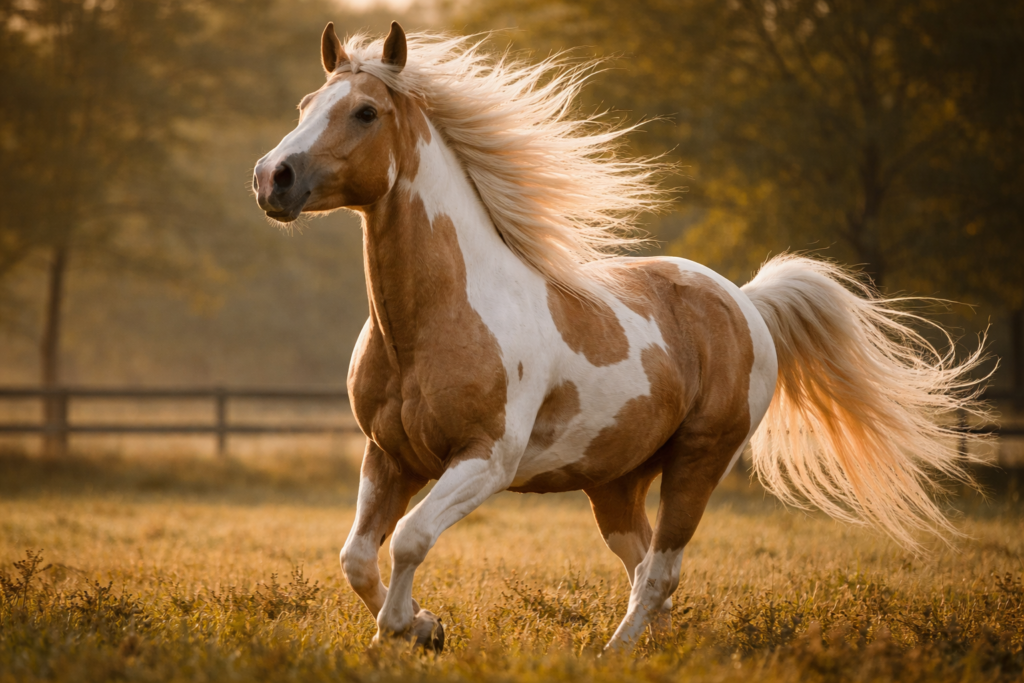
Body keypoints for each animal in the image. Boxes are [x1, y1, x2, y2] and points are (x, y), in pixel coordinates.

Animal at [252, 22, 988, 652]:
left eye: (365, 112)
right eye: (306, 103)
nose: (271, 178)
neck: (435, 321)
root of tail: (744, 302)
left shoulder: (485, 459)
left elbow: (408, 538)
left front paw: (408, 629)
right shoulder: (389, 455)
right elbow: (356, 556)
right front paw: (418, 629)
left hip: (699, 460)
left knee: (662, 569)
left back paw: (616, 651)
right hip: (616, 481)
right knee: (643, 569)